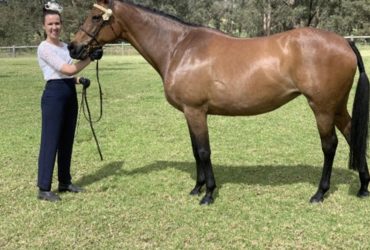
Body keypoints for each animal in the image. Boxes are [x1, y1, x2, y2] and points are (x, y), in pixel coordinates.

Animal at [68, 0, 368, 205]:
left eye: (95, 16)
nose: (73, 47)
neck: (179, 48)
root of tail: (345, 42)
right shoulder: (189, 113)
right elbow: (194, 150)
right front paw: (197, 188)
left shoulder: (196, 111)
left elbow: (203, 151)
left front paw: (209, 193)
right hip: (337, 107)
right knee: (353, 135)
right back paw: (363, 187)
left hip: (322, 108)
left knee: (330, 146)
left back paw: (320, 193)